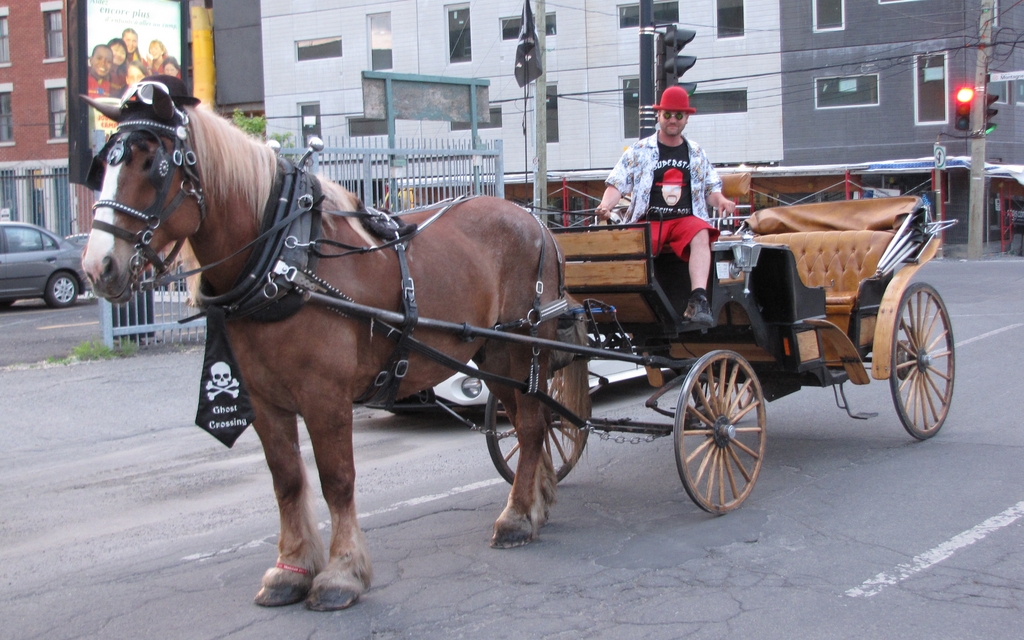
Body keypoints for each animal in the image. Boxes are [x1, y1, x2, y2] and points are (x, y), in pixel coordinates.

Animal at [81, 88, 585, 610]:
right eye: (103, 166)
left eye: (154, 165)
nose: (98, 267)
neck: (285, 260)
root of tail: (536, 222)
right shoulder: (264, 401)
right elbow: (287, 480)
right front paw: (290, 569)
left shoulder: (326, 397)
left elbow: (336, 480)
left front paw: (342, 573)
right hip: (492, 356)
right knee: (532, 423)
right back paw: (538, 501)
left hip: (516, 351)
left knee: (531, 427)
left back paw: (516, 517)